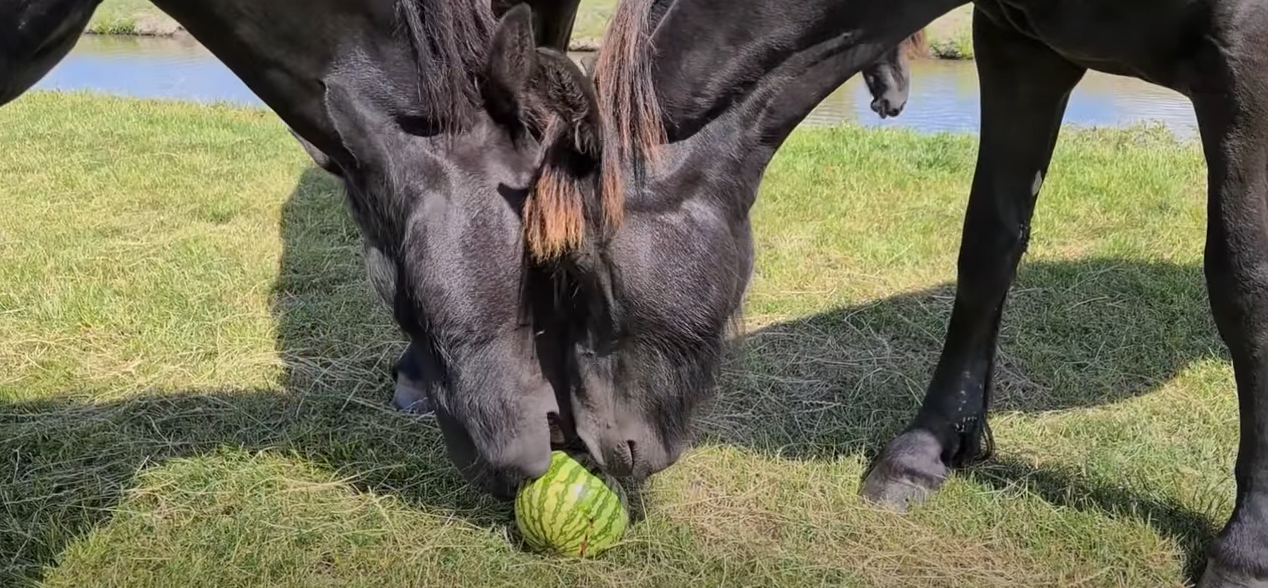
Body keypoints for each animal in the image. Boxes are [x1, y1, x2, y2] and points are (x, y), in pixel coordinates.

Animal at [537, 0, 1268, 585]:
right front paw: (924, 453)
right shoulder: (1018, 49)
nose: (583, 445)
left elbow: (1245, 285)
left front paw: (1246, 548)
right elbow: (987, 246)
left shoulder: (1247, 67)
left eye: (577, 269)